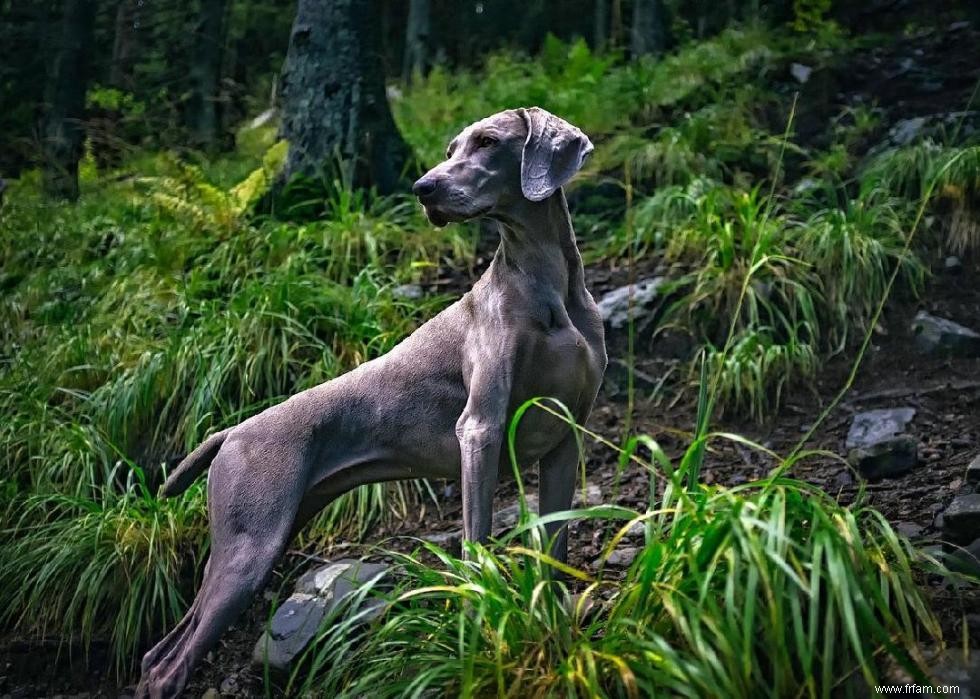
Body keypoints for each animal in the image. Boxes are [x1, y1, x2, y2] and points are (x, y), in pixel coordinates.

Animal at [136, 106, 604, 696]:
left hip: (261, 538)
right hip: (248, 549)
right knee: (168, 665)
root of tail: (231, 431)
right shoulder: (480, 428)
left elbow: (555, 550)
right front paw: (482, 620)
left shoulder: (567, 437)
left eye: (488, 142)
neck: (546, 283)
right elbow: (476, 543)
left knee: (158, 652)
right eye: (451, 149)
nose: (423, 188)